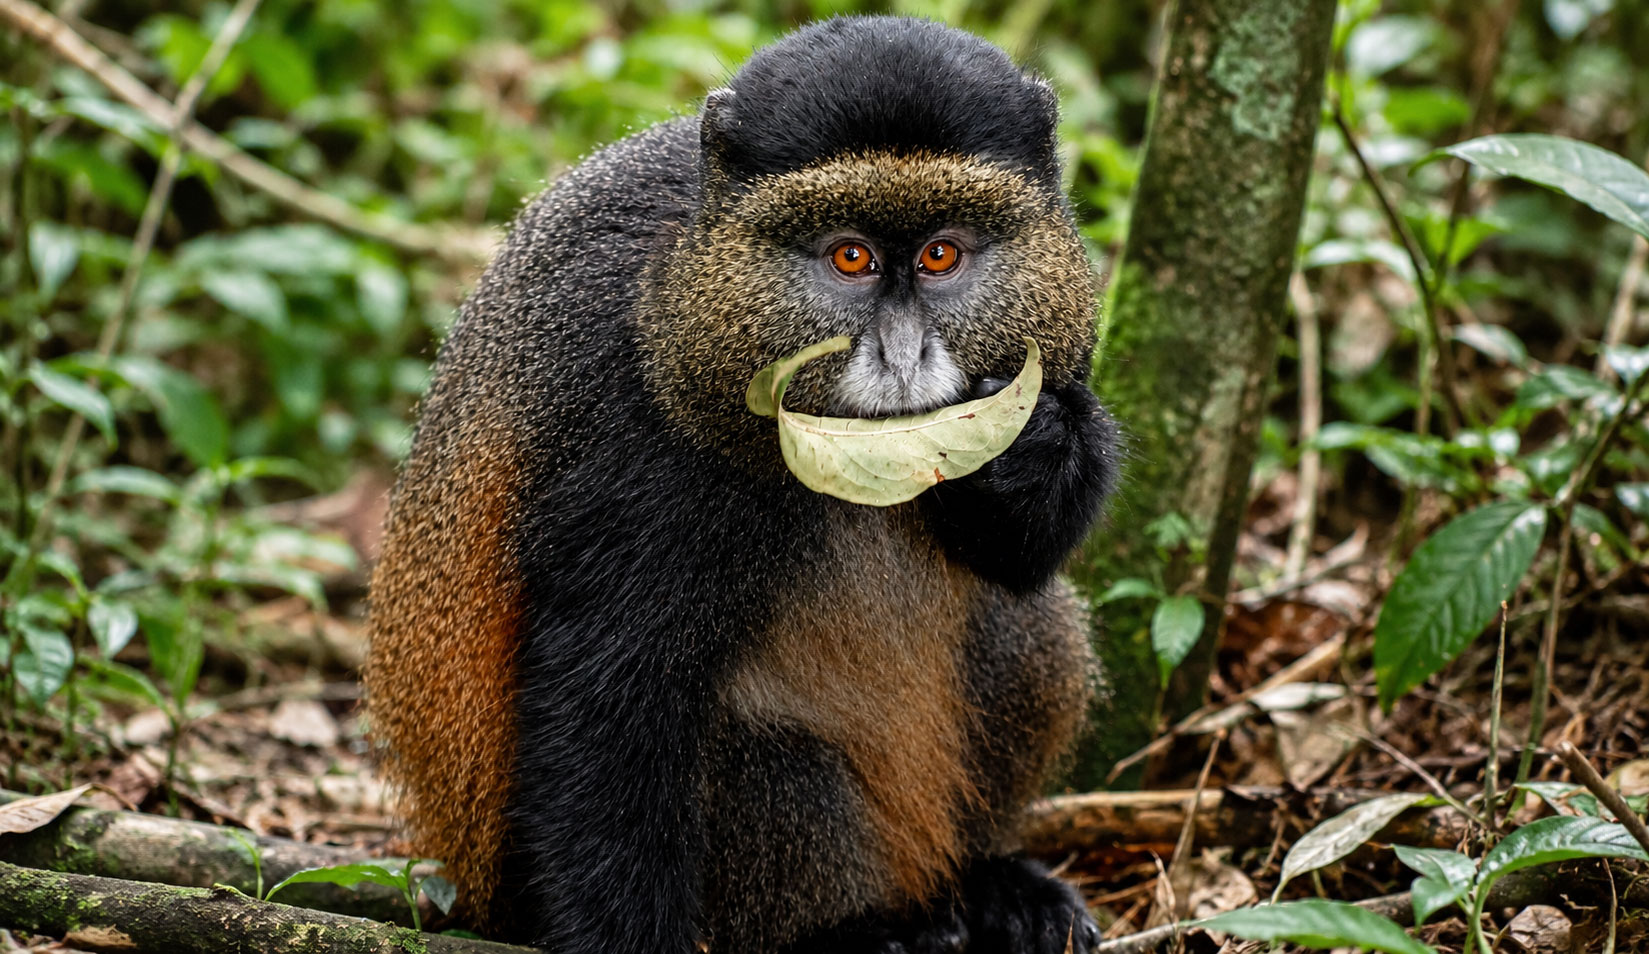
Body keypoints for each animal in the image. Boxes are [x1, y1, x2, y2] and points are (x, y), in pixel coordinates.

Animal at [365, 15, 1120, 954]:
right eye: (850, 257)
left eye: (941, 254)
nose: (903, 356)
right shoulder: (626, 415)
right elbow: (607, 683)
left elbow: (1019, 560)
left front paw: (1037, 449)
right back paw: (854, 931)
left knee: (1025, 623)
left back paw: (986, 883)